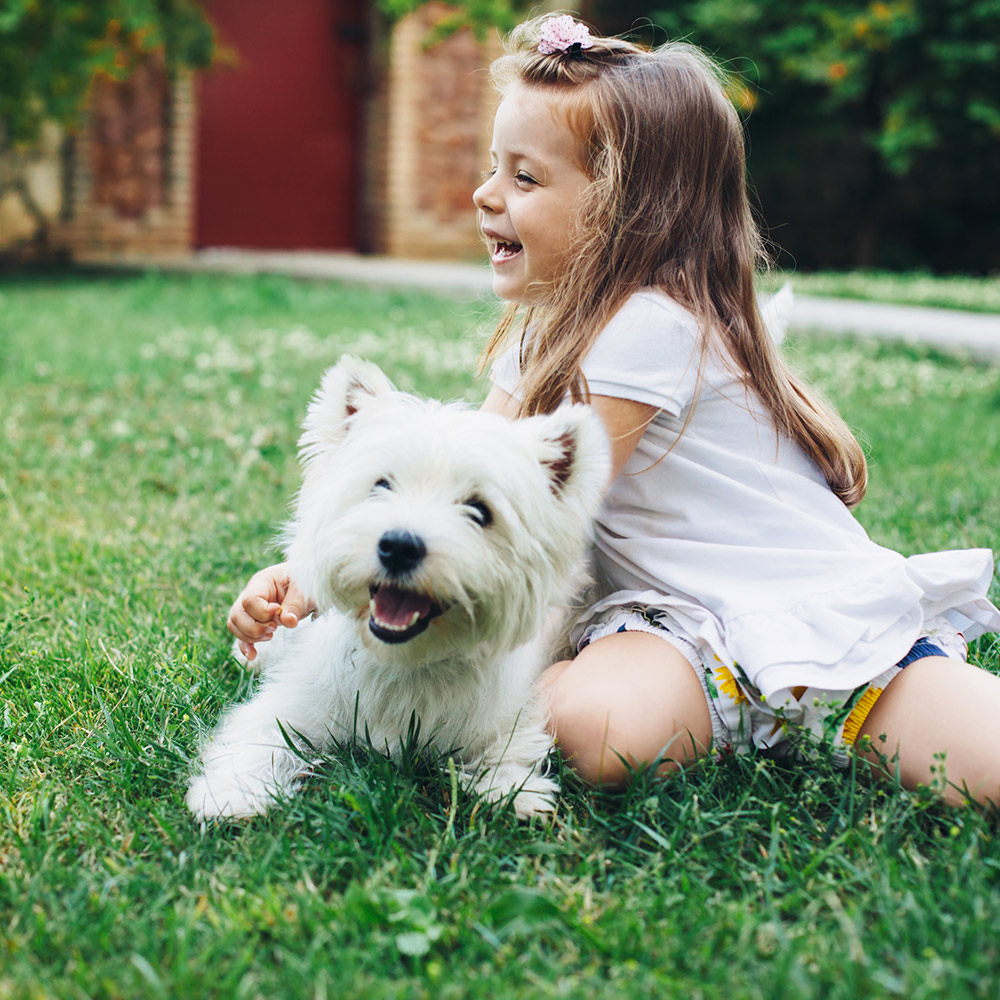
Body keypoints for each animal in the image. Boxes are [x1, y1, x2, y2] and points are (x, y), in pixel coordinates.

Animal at [188, 360, 608, 820]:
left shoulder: (507, 714)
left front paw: (513, 791)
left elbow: (509, 749)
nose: (400, 546)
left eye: (480, 511)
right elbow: (259, 737)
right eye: (381, 485)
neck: (407, 662)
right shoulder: (294, 704)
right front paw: (230, 793)